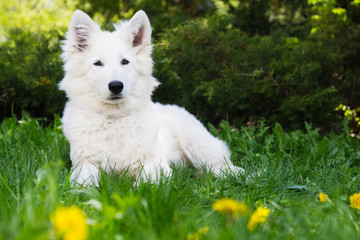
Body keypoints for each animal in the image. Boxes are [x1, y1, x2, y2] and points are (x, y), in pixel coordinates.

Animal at [60, 9, 243, 186]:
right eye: (97, 63)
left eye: (125, 62)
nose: (116, 86)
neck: (115, 119)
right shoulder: (85, 164)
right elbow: (83, 183)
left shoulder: (154, 165)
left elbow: (144, 185)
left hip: (197, 144)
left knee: (222, 165)